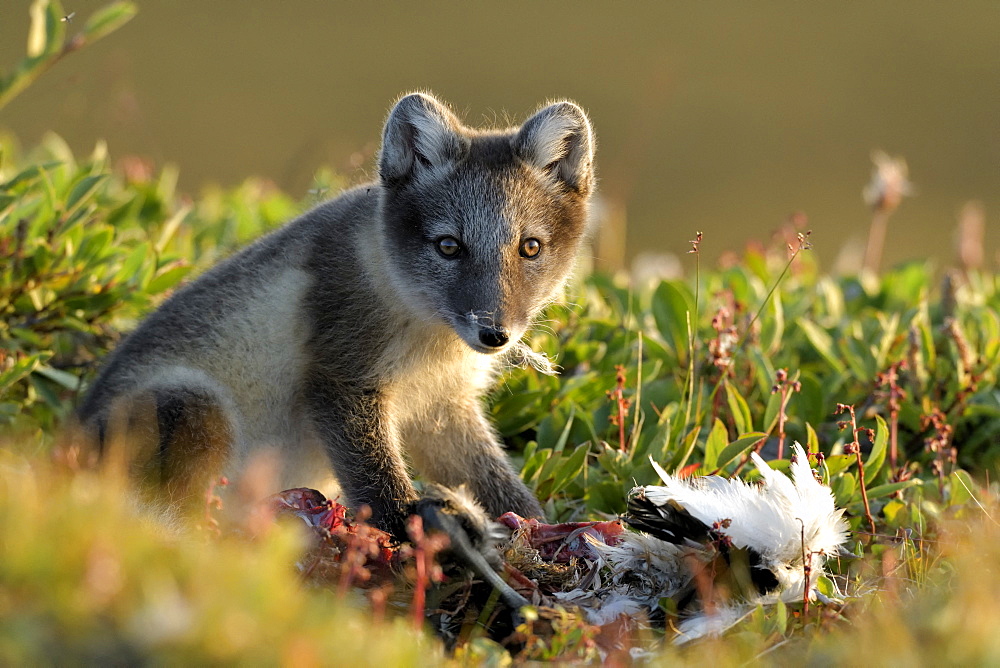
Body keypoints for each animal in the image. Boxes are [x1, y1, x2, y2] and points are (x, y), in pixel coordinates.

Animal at [80, 92, 592, 536]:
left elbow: (494, 478)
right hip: (195, 408)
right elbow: (376, 482)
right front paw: (406, 530)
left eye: (530, 247)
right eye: (448, 246)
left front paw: (534, 526)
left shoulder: (442, 409)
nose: (494, 334)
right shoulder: (340, 378)